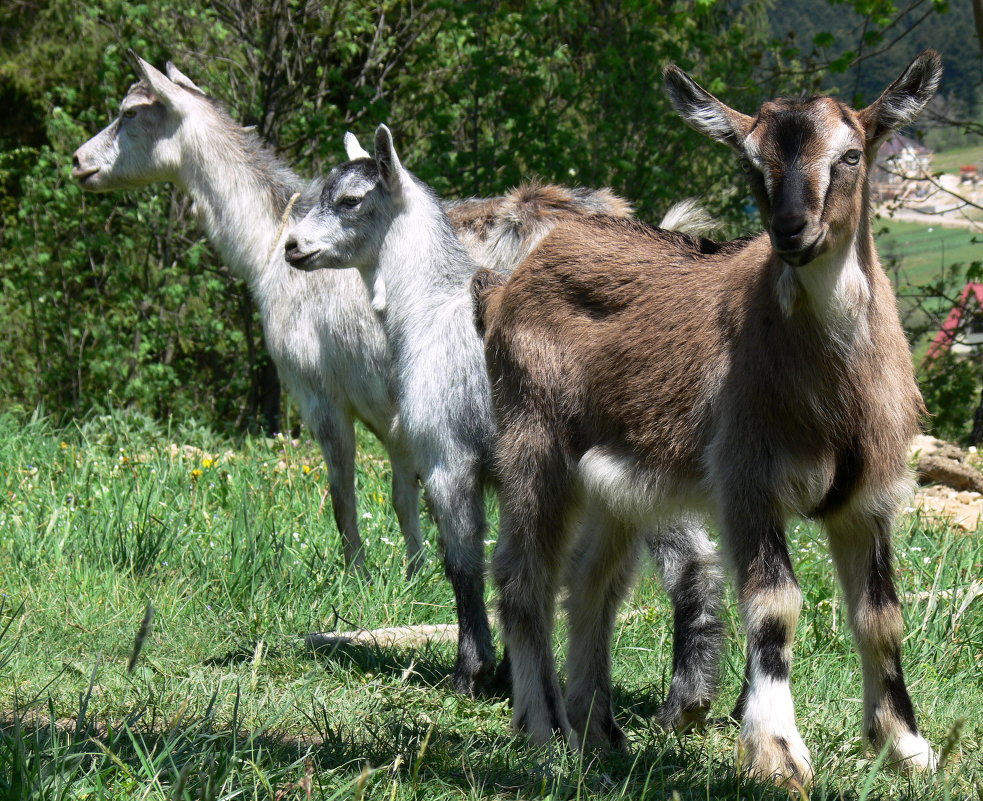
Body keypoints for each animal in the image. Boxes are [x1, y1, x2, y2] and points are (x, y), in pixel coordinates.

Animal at [476, 53, 944, 784]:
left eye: (849, 156)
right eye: (751, 162)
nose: (791, 230)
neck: (832, 388)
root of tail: (508, 282)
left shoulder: (867, 497)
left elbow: (881, 617)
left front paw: (907, 746)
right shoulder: (746, 479)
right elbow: (775, 604)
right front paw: (778, 751)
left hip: (617, 483)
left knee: (590, 582)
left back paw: (597, 731)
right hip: (532, 438)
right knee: (523, 579)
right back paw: (545, 735)